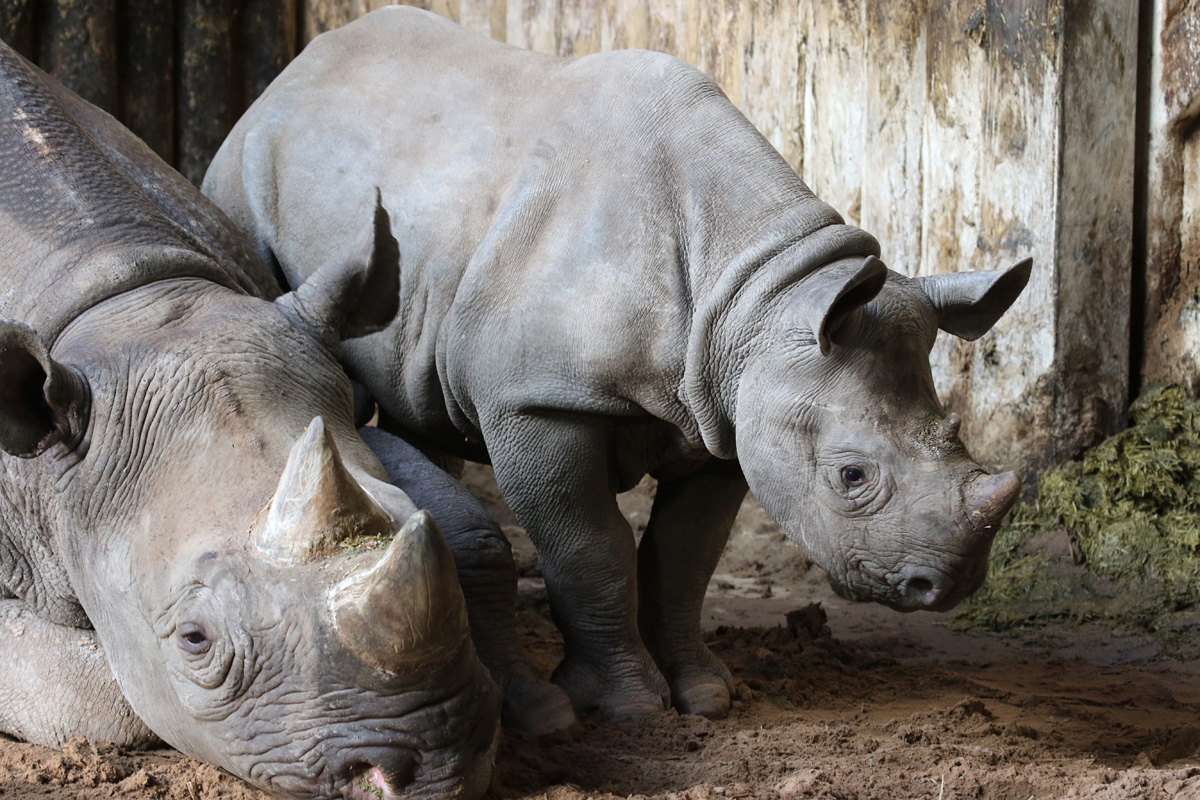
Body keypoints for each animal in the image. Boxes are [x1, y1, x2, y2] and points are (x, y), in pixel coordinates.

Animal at [203, 6, 1030, 723]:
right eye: (851, 477)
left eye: (956, 430)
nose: (948, 584)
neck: (758, 295)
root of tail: (290, 73)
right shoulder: (539, 403)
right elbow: (591, 550)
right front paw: (628, 708)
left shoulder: (725, 409)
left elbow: (684, 559)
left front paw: (706, 697)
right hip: (242, 174)